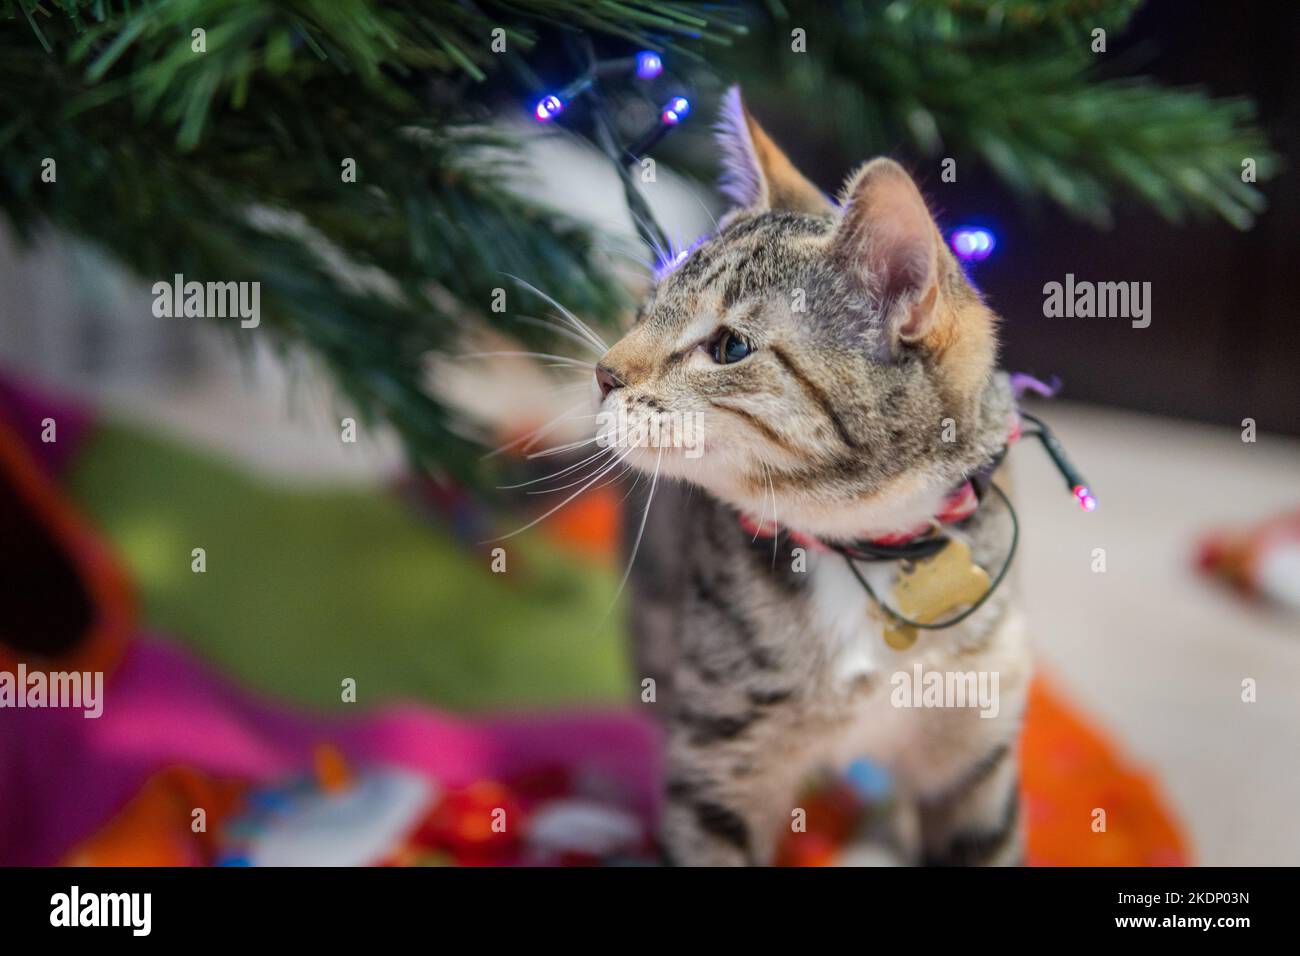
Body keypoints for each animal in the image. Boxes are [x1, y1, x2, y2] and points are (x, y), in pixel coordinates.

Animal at [600, 89, 1034, 868]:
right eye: (646, 310)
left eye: (729, 347)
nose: (603, 372)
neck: (866, 545)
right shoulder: (721, 758)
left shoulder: (973, 748)